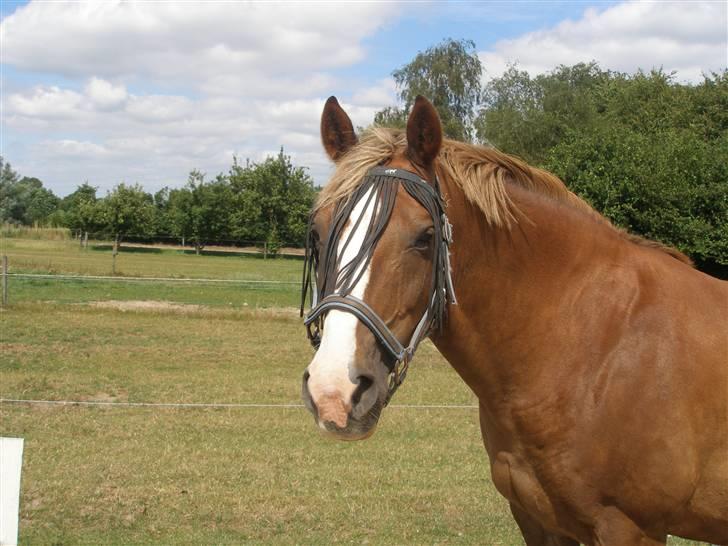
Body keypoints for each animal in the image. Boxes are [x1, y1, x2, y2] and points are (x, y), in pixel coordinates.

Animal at [298, 95, 724, 540]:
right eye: (318, 233)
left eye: (425, 237)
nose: (333, 392)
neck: (594, 346)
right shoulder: (536, 520)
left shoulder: (630, 528)